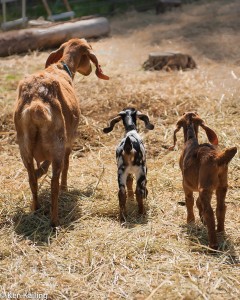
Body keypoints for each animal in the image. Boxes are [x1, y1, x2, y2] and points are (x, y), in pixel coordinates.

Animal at [13, 38, 109, 227]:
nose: (88, 70)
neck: (61, 67)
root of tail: (36, 105)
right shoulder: (68, 140)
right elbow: (67, 164)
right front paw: (66, 187)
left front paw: (40, 171)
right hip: (58, 142)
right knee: (54, 183)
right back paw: (55, 220)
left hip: (24, 148)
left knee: (32, 179)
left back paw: (35, 207)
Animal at [170, 112, 237, 248]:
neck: (191, 139)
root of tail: (218, 158)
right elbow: (198, 202)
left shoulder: (186, 185)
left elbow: (189, 202)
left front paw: (190, 221)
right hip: (222, 186)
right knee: (221, 207)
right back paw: (220, 231)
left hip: (205, 187)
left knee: (209, 212)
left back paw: (213, 244)